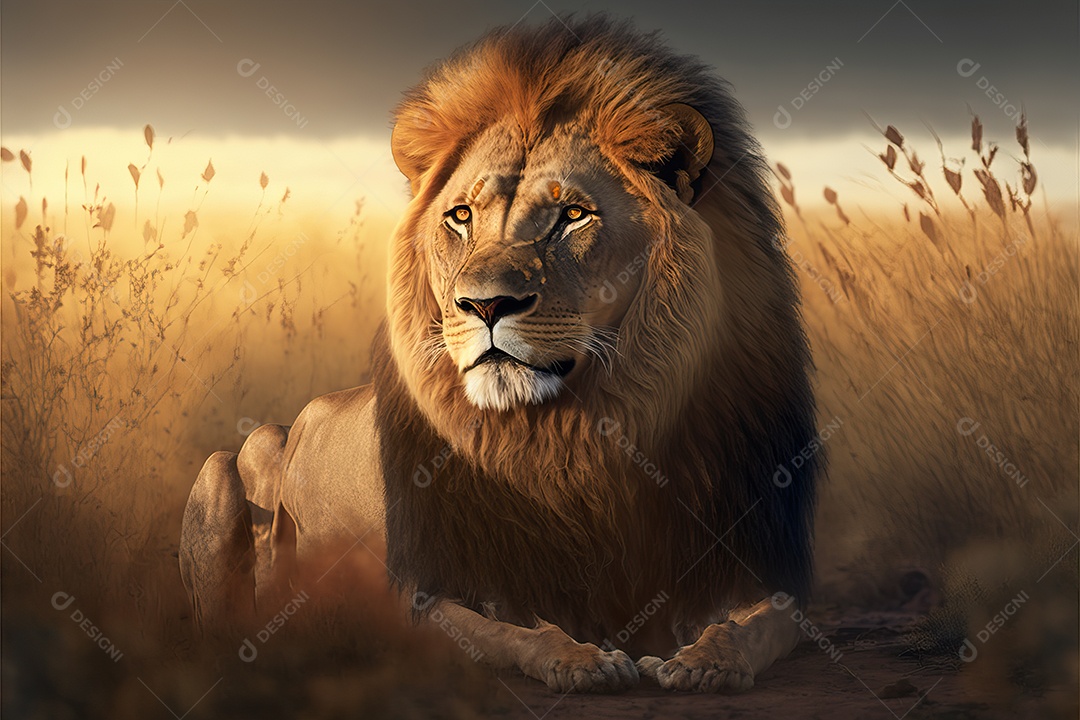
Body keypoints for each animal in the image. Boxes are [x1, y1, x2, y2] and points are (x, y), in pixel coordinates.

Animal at [179, 15, 820, 694]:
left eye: (573, 215)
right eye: (461, 216)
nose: (485, 305)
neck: (570, 439)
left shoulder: (743, 562)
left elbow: (756, 622)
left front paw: (704, 662)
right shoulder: (430, 590)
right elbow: (518, 631)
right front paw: (581, 660)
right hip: (225, 468)